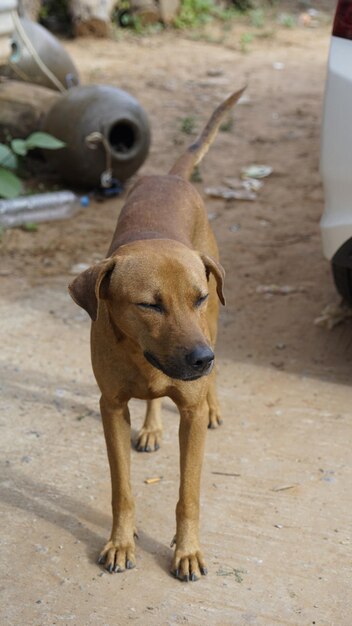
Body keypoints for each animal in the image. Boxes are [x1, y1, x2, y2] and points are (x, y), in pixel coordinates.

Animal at [69, 88, 245, 580]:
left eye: (197, 297)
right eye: (149, 305)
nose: (201, 359)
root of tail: (169, 176)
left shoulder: (190, 408)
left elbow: (189, 495)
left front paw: (187, 551)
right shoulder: (111, 407)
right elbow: (122, 489)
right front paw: (120, 542)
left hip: (215, 326)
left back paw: (213, 403)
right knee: (152, 398)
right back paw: (151, 426)